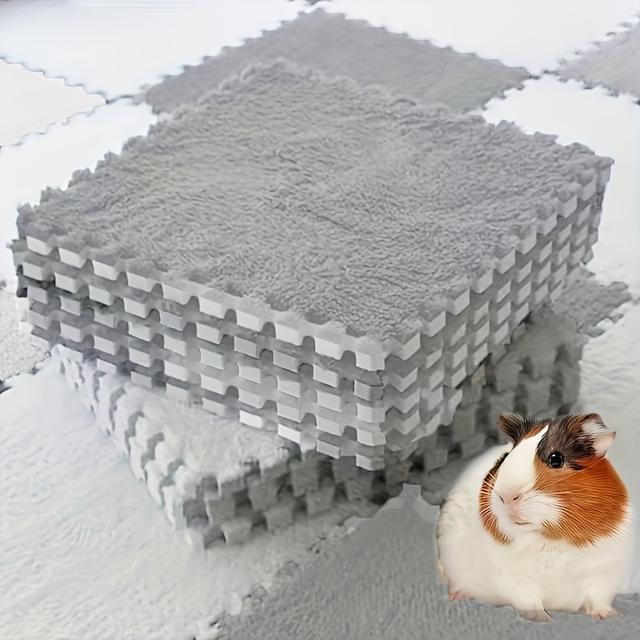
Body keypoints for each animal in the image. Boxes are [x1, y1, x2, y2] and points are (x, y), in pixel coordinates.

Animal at [436, 413, 634, 622]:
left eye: (556, 459)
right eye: (506, 458)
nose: (506, 495)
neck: (552, 539)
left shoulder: (602, 575)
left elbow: (597, 598)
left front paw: (611, 615)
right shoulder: (514, 579)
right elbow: (529, 601)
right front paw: (544, 619)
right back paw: (456, 595)